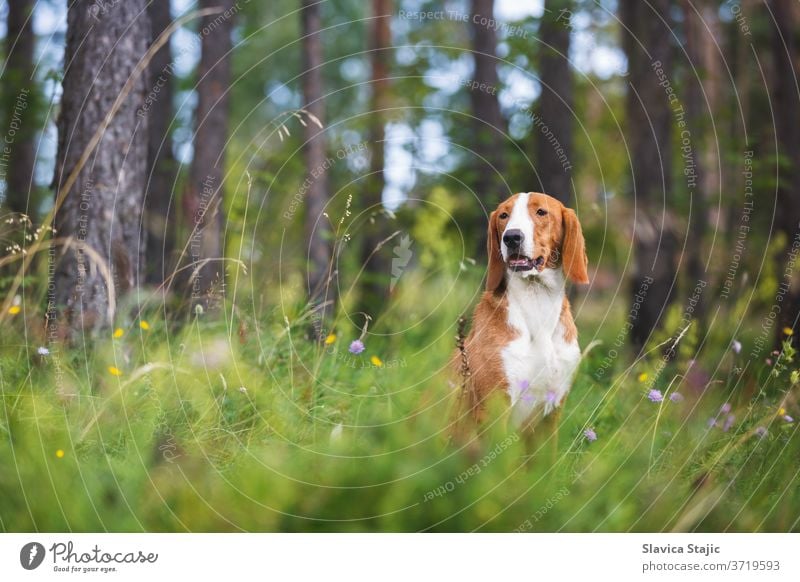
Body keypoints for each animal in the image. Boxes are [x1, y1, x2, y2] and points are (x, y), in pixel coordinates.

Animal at [460, 194, 584, 436]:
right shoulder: (495, 408)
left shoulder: (550, 414)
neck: (536, 299)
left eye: (541, 212)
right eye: (503, 215)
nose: (511, 237)